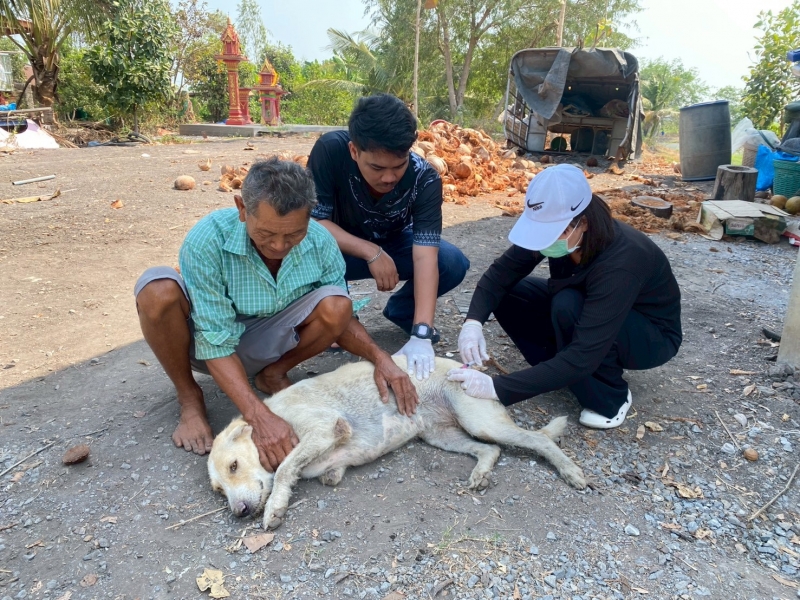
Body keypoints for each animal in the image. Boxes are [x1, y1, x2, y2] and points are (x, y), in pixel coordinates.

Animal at [208, 357, 586, 530]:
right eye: (218, 490)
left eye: (234, 465)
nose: (239, 512)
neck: (270, 416)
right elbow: (322, 472)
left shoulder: (323, 429)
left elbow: (286, 469)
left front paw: (275, 507)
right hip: (440, 435)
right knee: (489, 450)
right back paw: (480, 474)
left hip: (482, 422)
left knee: (538, 439)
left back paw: (571, 472)